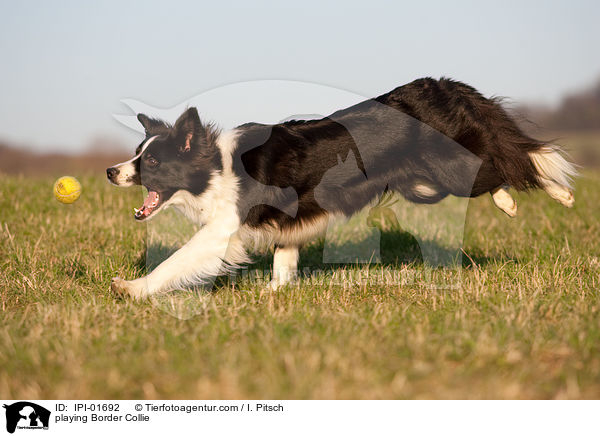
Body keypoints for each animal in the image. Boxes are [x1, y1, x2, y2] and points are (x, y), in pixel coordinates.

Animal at [108, 76, 576, 298]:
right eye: (136, 153)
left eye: (152, 161)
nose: (112, 172)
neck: (214, 168)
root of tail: (439, 84)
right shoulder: (289, 224)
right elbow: (284, 262)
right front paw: (275, 294)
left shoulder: (223, 230)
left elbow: (177, 261)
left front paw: (132, 288)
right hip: (422, 184)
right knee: (500, 159)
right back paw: (515, 201)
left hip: (449, 169)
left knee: (508, 159)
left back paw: (557, 193)